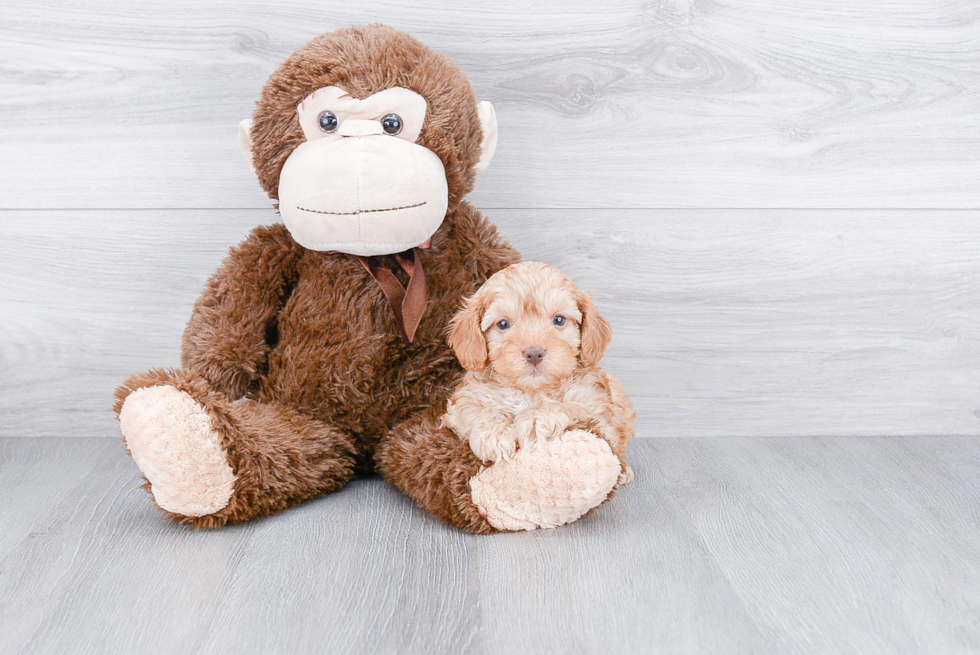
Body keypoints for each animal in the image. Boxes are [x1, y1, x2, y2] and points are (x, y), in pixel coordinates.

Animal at [442, 260, 636, 482]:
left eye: (559, 320)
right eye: (503, 324)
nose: (534, 353)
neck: (531, 391)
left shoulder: (597, 408)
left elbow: (569, 406)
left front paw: (536, 418)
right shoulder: (462, 402)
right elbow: (475, 408)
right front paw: (494, 433)